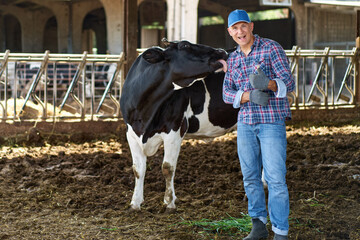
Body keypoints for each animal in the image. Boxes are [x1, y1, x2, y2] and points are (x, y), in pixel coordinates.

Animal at [120, 40, 239, 211]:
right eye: (184, 46)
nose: (221, 51)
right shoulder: (131, 133)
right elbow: (137, 169)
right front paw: (135, 203)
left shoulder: (174, 130)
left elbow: (167, 168)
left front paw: (169, 202)